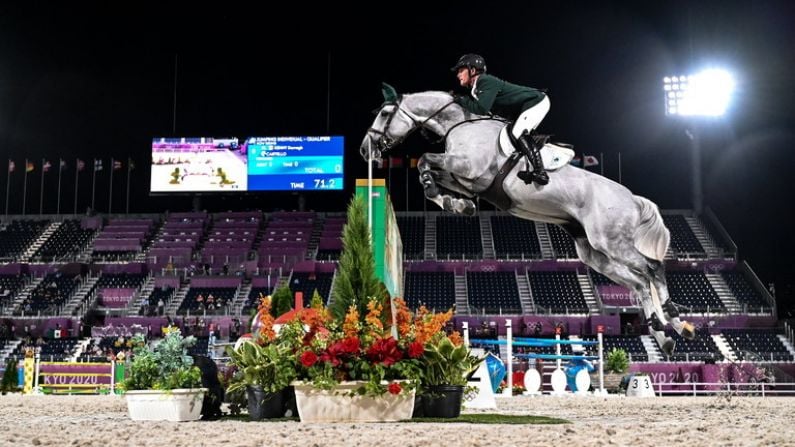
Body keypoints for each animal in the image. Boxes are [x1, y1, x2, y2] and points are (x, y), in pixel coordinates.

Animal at [360, 85, 696, 356]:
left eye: (385, 113)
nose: (366, 149)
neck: (460, 124)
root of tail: (632, 199)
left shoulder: (468, 168)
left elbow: (426, 161)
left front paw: (444, 196)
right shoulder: (466, 180)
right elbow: (431, 173)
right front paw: (457, 205)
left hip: (611, 241)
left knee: (652, 268)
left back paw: (674, 319)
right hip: (594, 254)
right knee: (639, 282)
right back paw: (664, 334)